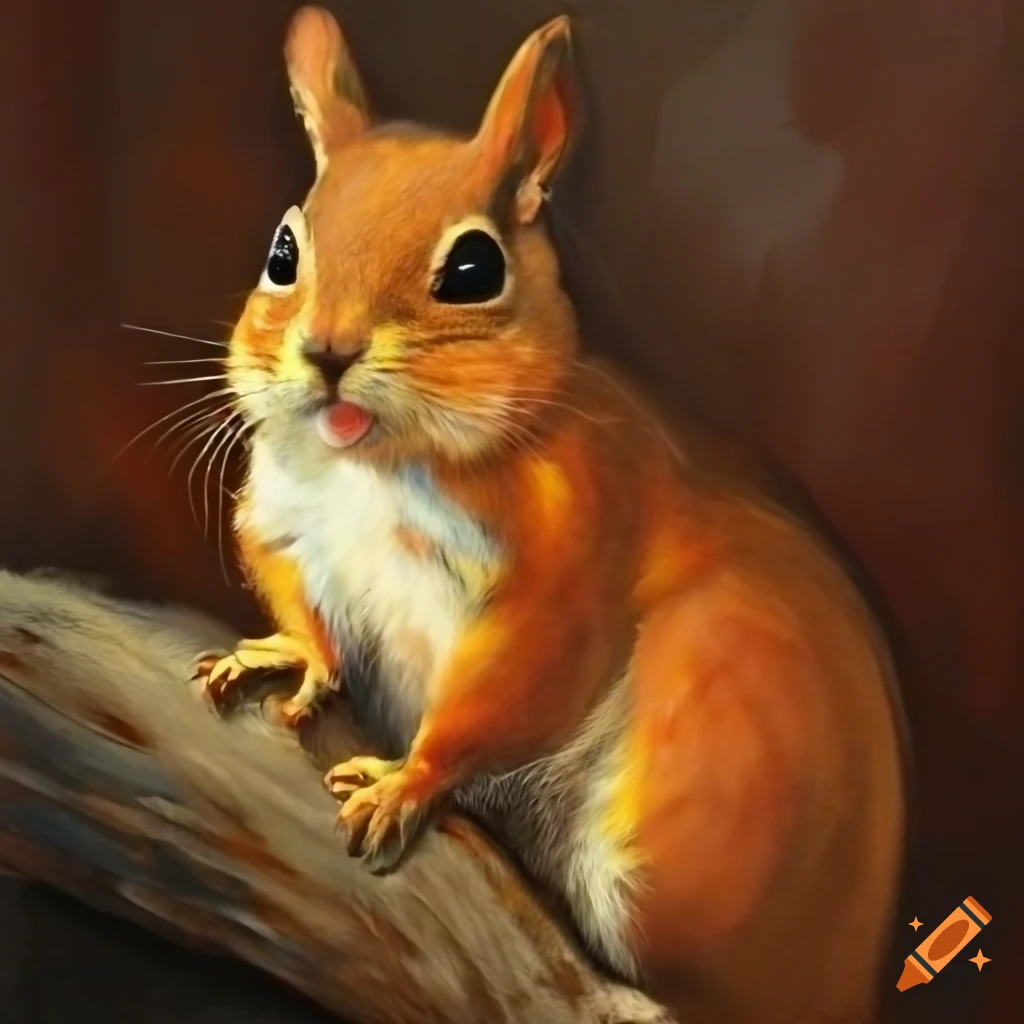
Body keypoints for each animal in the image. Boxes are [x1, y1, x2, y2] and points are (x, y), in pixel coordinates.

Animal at [195, 8, 906, 1022]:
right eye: (282, 254)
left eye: (472, 267)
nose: (327, 352)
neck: (377, 461)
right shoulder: (287, 527)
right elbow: (306, 610)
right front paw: (289, 654)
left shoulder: (564, 572)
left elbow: (506, 691)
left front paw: (406, 780)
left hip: (703, 783)